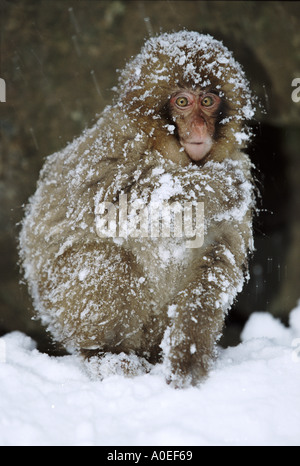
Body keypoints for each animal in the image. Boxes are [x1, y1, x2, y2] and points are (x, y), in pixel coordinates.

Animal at [19, 31, 256, 386]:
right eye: (182, 102)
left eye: (208, 101)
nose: (200, 128)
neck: (172, 153)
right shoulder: (117, 142)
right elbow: (126, 204)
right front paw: (219, 184)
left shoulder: (238, 166)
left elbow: (216, 261)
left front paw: (187, 359)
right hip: (59, 305)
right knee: (108, 258)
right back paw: (103, 354)